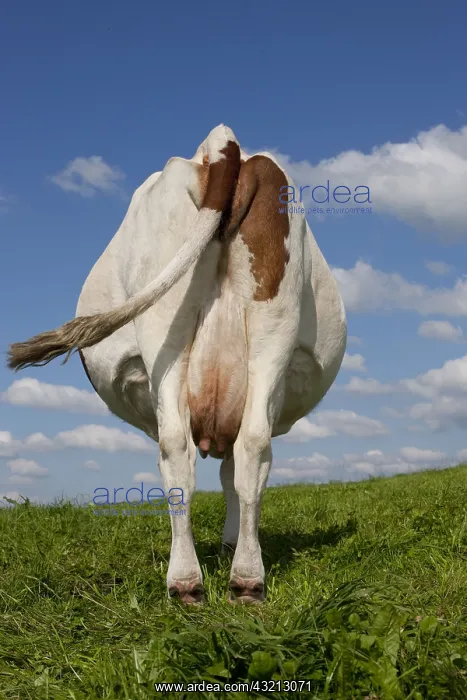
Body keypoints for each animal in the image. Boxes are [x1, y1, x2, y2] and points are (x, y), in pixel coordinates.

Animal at [7, 125, 346, 605]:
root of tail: (221, 146)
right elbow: (232, 473)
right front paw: (229, 543)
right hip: (272, 323)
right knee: (252, 444)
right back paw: (246, 577)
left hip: (163, 329)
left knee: (176, 449)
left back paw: (186, 581)